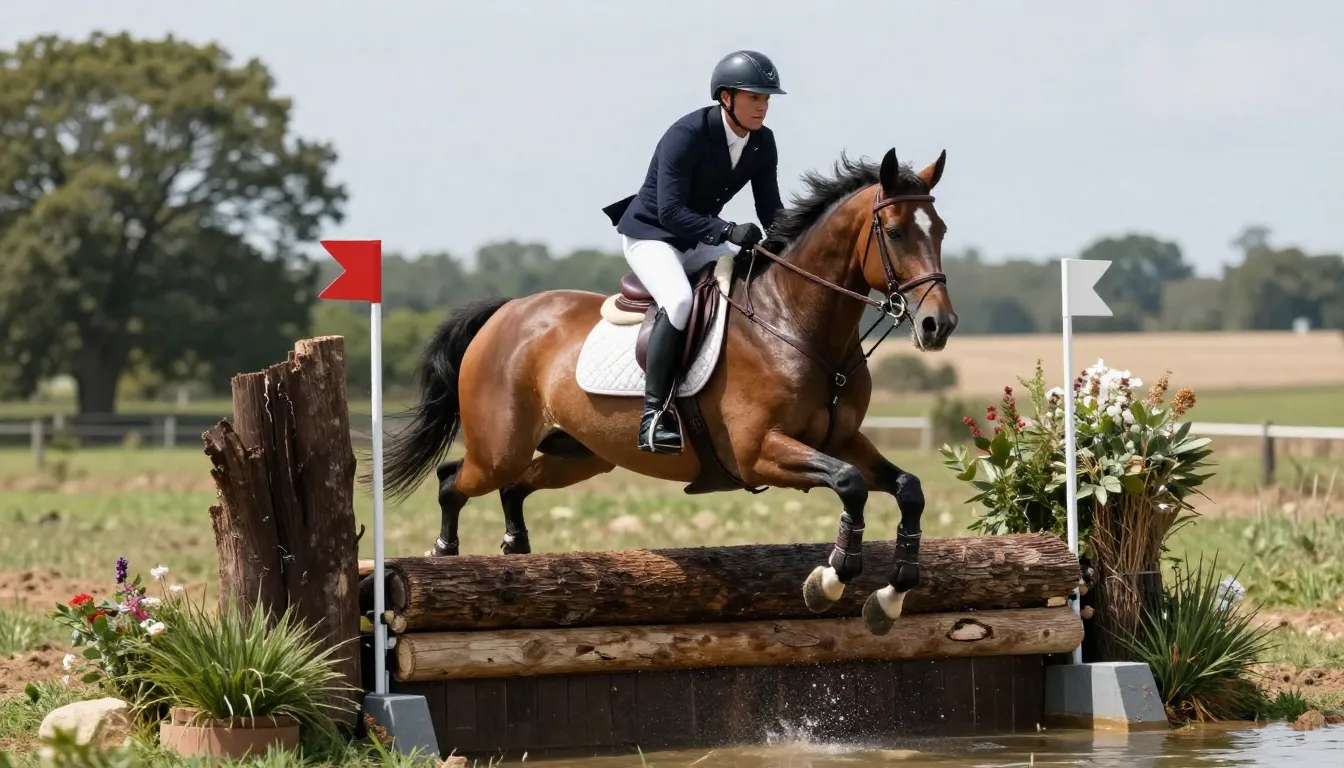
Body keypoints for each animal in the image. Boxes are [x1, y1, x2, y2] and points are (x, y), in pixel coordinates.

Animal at [380, 147, 958, 636]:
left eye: (941, 230)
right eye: (896, 232)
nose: (939, 326)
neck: (793, 321)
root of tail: (507, 312)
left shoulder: (843, 439)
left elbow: (906, 488)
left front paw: (890, 596)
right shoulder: (758, 452)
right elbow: (849, 483)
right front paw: (831, 579)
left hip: (578, 454)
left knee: (515, 488)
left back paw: (516, 552)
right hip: (500, 447)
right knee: (454, 479)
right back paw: (442, 556)